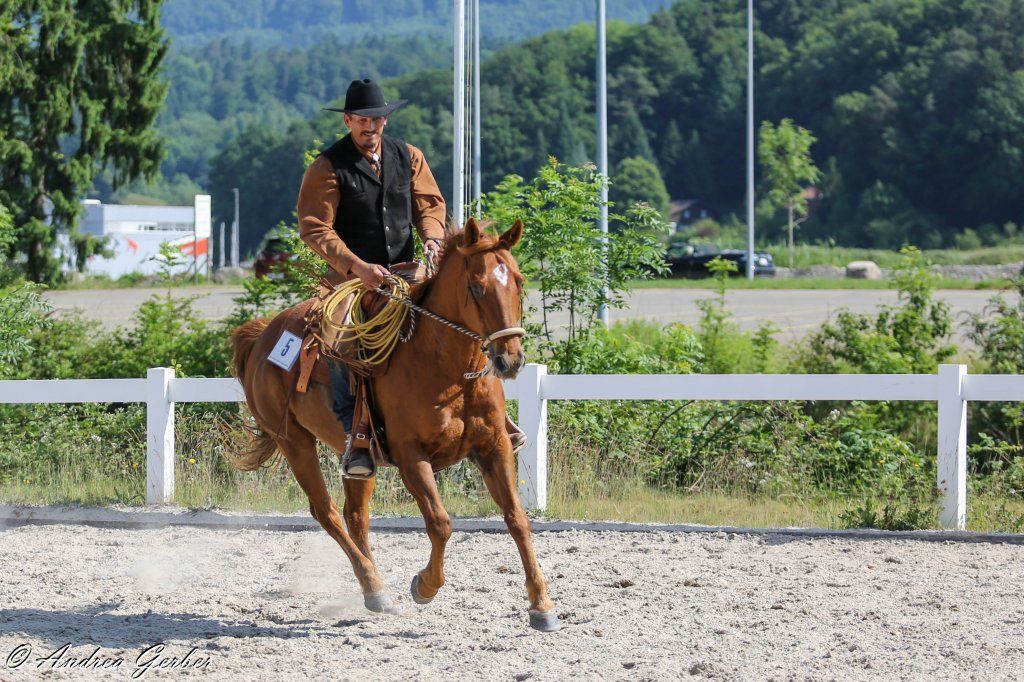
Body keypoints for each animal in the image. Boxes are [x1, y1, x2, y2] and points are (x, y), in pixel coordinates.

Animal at [228, 217, 561, 632]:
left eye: (518, 280)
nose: (510, 360)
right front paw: (425, 585)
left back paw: (375, 591)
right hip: (295, 444)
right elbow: (440, 522)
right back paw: (375, 586)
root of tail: (263, 336)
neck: (449, 372)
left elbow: (517, 519)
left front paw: (541, 605)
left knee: (355, 516)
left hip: (355, 456)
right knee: (327, 512)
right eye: (476, 286)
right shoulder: (411, 457)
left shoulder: (494, 447)